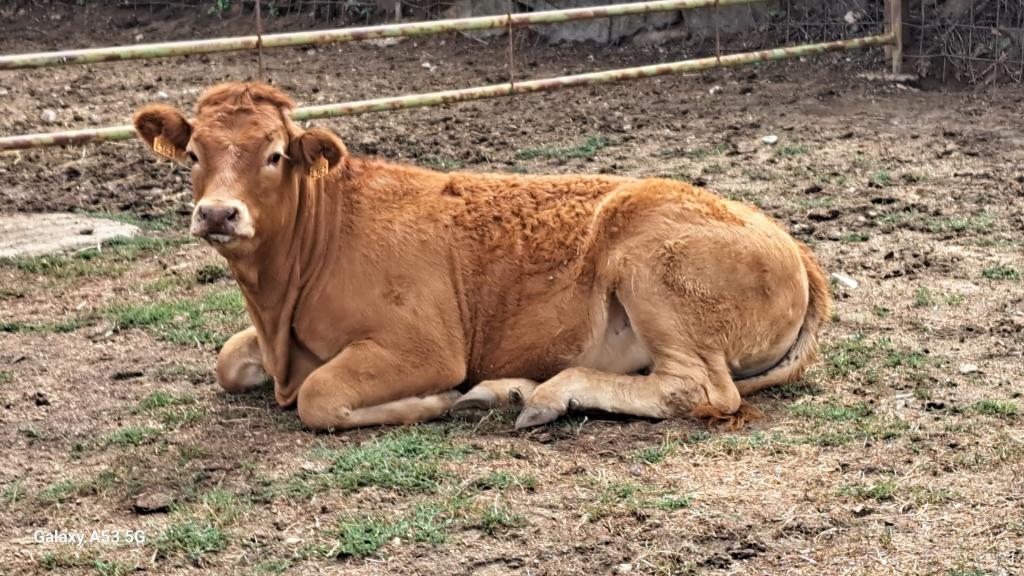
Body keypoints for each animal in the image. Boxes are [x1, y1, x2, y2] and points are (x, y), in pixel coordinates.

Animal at [133, 82, 830, 431]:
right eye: (193, 154)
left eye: (275, 154)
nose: (218, 213)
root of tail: (795, 247)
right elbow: (228, 360)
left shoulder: (424, 347)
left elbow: (319, 398)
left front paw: (441, 402)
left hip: (653, 270)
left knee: (698, 388)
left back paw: (539, 395)